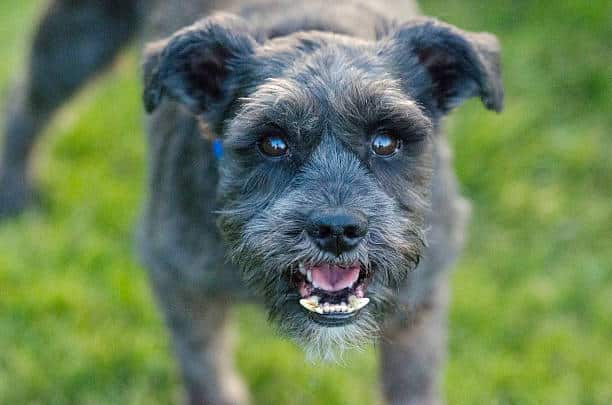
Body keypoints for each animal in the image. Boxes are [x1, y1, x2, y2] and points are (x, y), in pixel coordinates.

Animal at [0, 1, 502, 402]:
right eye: (272, 143)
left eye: (386, 141)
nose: (337, 230)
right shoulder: (179, 280)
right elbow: (205, 370)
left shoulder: (419, 304)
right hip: (78, 35)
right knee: (30, 99)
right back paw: (15, 191)